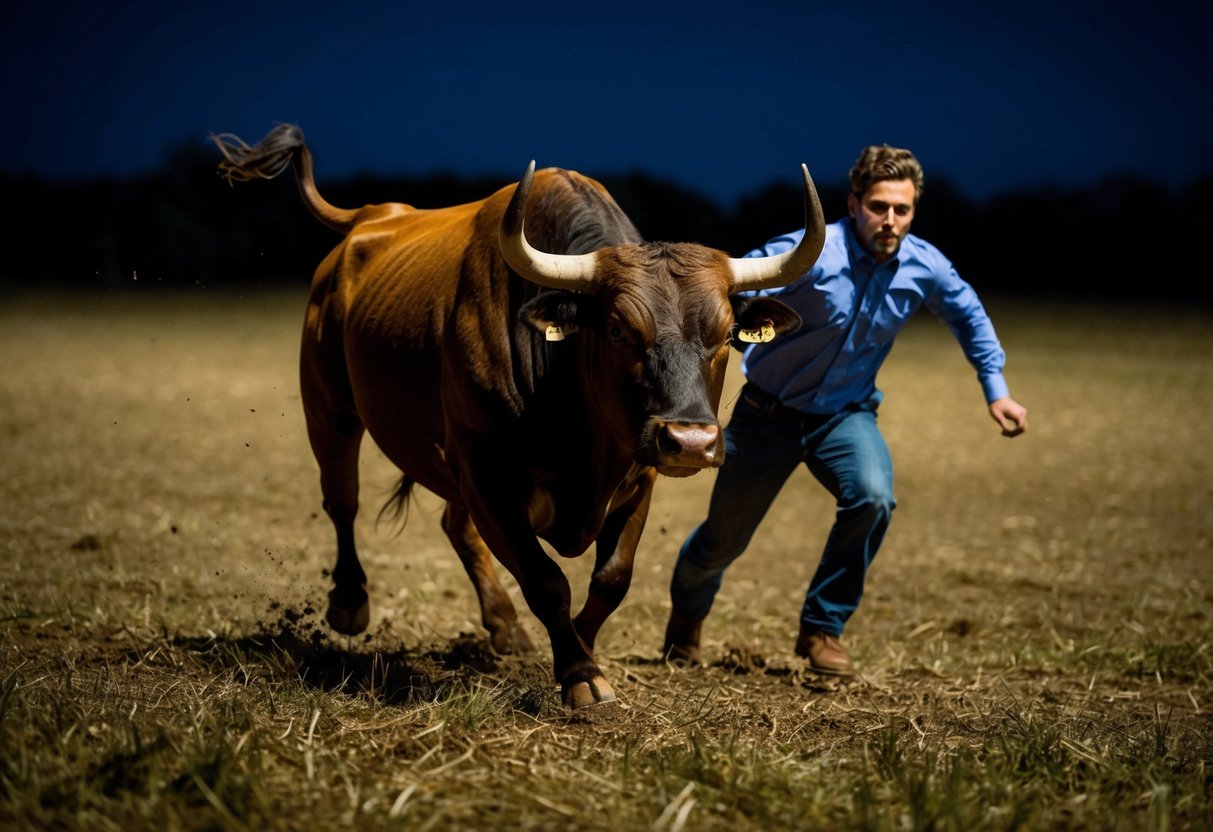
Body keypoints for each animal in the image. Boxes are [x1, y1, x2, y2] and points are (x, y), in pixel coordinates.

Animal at [215, 125, 824, 708]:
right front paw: (582, 675)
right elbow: (546, 579)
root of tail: (374, 216)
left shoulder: (638, 477)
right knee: (343, 500)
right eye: (620, 329)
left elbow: (611, 579)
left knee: (454, 527)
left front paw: (578, 647)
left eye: (725, 336)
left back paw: (506, 627)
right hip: (330, 409)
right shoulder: (489, 475)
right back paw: (349, 602)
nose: (691, 441)